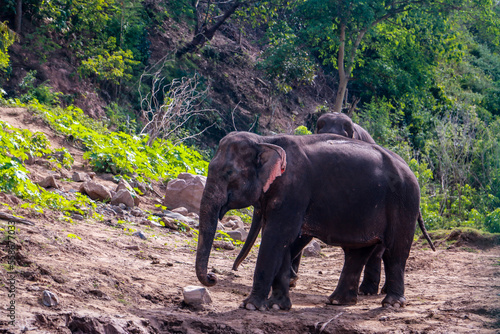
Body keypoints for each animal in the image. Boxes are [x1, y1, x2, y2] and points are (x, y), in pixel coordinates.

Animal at [195, 131, 426, 310]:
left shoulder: (294, 190)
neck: (264, 140)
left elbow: (277, 235)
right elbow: (283, 241)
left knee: (395, 251)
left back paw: (391, 304)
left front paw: (250, 305)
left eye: (229, 173)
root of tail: (410, 170)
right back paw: (338, 301)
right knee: (356, 252)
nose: (213, 277)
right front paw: (277, 306)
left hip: (404, 203)